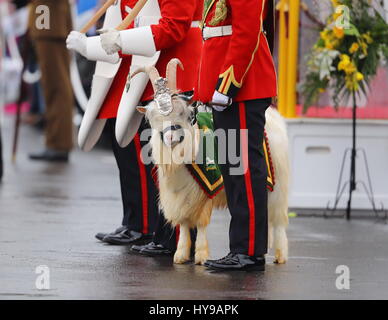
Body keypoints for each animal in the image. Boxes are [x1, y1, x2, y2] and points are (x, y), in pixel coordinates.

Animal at [133, 59, 288, 264]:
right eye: (153, 118)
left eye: (183, 113)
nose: (170, 137)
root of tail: (273, 116)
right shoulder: (182, 195)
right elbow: (184, 223)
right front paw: (180, 255)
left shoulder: (207, 188)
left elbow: (201, 222)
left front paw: (200, 256)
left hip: (278, 184)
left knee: (278, 219)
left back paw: (279, 255)